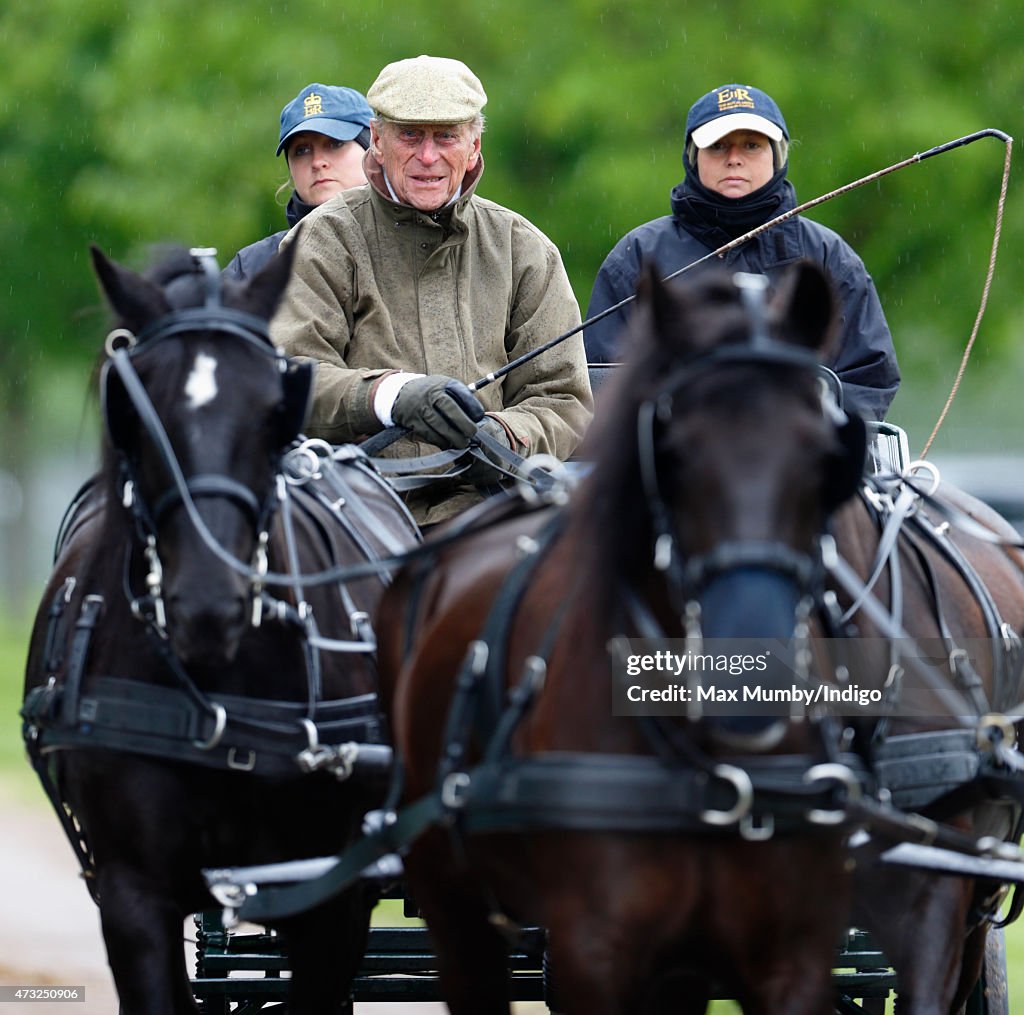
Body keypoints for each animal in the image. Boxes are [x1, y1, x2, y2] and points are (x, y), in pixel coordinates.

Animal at [376, 264, 872, 1015]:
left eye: (828, 456)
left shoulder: (788, 952)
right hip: (452, 899)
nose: (748, 664)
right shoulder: (595, 947)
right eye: (669, 453)